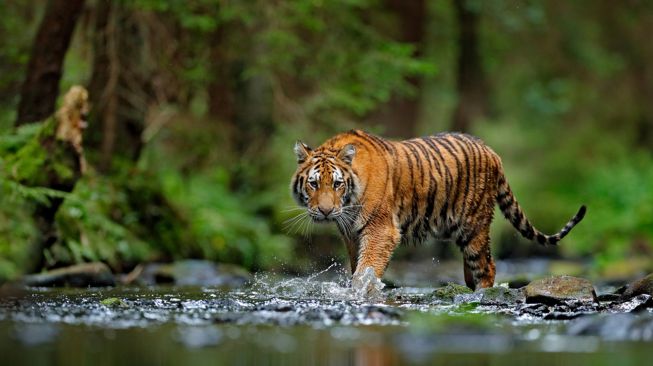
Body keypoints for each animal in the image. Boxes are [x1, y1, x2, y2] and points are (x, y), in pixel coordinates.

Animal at [290, 130, 584, 290]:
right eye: (314, 184)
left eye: (337, 184)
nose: (325, 211)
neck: (349, 204)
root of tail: (491, 151)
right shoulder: (351, 234)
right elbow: (357, 267)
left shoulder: (381, 230)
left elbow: (367, 269)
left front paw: (361, 291)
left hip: (473, 226)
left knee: (487, 266)